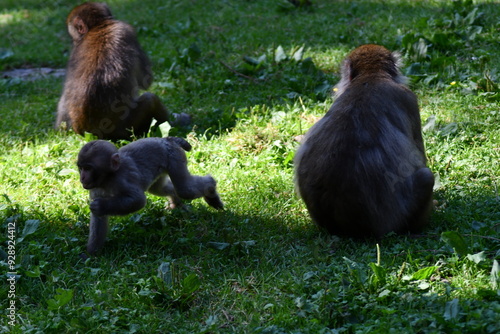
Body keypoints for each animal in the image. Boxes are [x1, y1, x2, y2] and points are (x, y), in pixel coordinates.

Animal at [56, 1, 171, 140]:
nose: (74, 40)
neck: (99, 26)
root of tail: (95, 133)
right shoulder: (126, 30)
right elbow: (146, 80)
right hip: (125, 129)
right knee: (150, 99)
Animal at [77, 137, 224, 254]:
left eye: (88, 168)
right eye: (81, 168)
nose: (82, 177)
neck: (108, 178)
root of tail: (166, 139)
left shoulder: (122, 179)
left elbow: (138, 200)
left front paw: (100, 206)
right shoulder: (95, 188)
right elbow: (99, 218)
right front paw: (91, 252)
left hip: (174, 156)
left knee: (185, 189)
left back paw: (211, 189)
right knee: (158, 188)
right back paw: (176, 202)